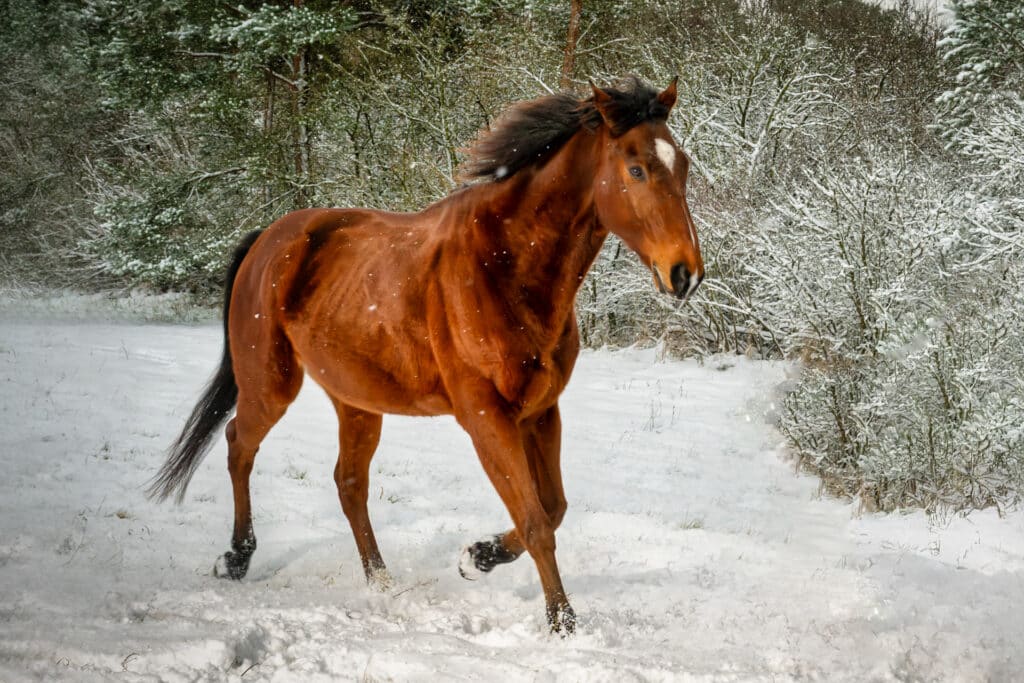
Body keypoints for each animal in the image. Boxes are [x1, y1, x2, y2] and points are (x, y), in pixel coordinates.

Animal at [148, 76, 704, 634]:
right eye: (636, 169)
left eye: (682, 164)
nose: (685, 274)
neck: (504, 265)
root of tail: (268, 239)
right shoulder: (486, 418)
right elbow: (535, 521)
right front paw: (562, 622)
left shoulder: (541, 413)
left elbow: (554, 507)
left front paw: (478, 556)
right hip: (271, 385)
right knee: (239, 444)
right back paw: (236, 558)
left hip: (357, 402)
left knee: (349, 483)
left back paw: (380, 583)